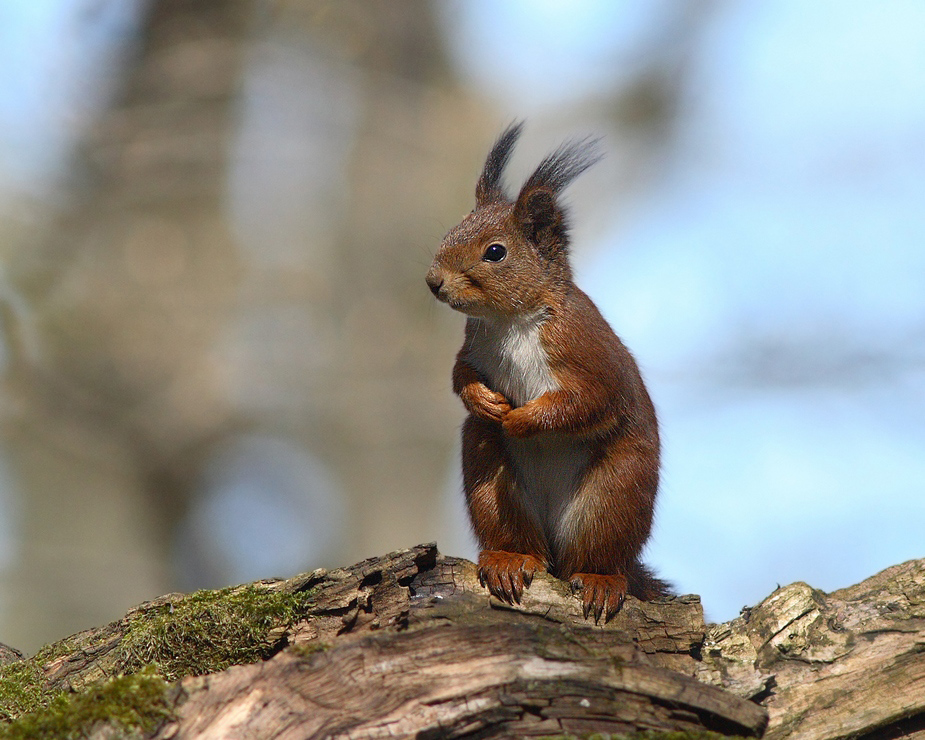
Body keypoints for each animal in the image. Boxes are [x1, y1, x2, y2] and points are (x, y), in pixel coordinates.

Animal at [426, 124, 672, 620]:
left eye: (495, 252)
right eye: (451, 231)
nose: (433, 281)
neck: (509, 320)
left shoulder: (586, 352)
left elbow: (589, 401)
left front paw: (522, 419)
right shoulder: (473, 346)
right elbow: (460, 375)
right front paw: (484, 401)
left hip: (613, 495)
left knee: (596, 555)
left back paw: (599, 578)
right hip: (491, 477)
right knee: (518, 537)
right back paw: (510, 557)